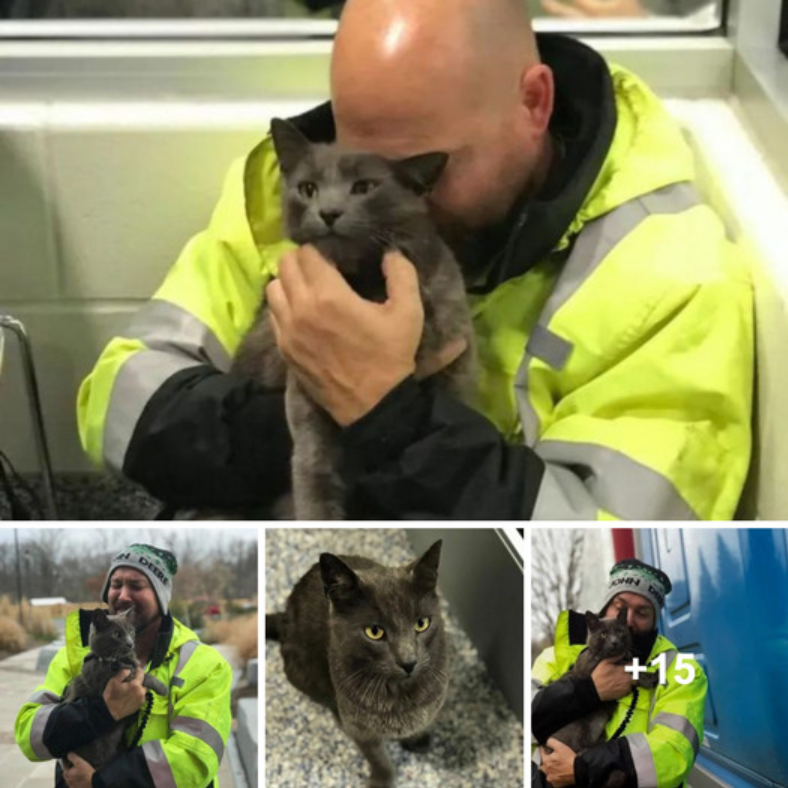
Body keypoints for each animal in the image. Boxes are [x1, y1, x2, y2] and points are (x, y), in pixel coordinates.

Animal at [60, 608, 169, 768]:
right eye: (116, 634)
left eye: (131, 632)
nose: (130, 643)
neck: (115, 660)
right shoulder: (107, 680)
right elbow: (143, 675)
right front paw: (163, 688)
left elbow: (141, 672)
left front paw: (161, 687)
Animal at [231, 117, 478, 520]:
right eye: (308, 188)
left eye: (364, 187)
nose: (329, 211)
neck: (364, 284)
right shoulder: (305, 379)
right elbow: (314, 460)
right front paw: (318, 516)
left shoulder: (457, 362)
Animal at [266, 540, 446, 788]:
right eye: (374, 632)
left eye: (422, 624)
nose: (409, 661)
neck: (400, 695)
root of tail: (284, 615)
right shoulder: (359, 728)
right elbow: (377, 756)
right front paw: (382, 780)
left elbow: (421, 723)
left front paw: (417, 739)